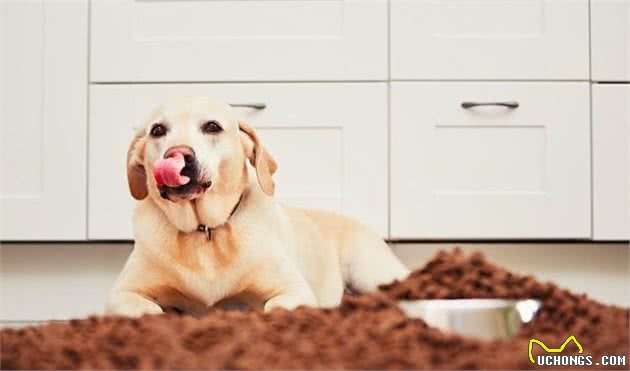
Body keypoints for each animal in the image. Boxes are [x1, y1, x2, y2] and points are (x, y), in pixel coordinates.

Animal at [106, 97, 412, 318]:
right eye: (157, 130)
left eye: (212, 126)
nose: (177, 154)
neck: (206, 232)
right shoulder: (121, 295)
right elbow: (148, 309)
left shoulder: (294, 292)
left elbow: (271, 308)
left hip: (370, 271)